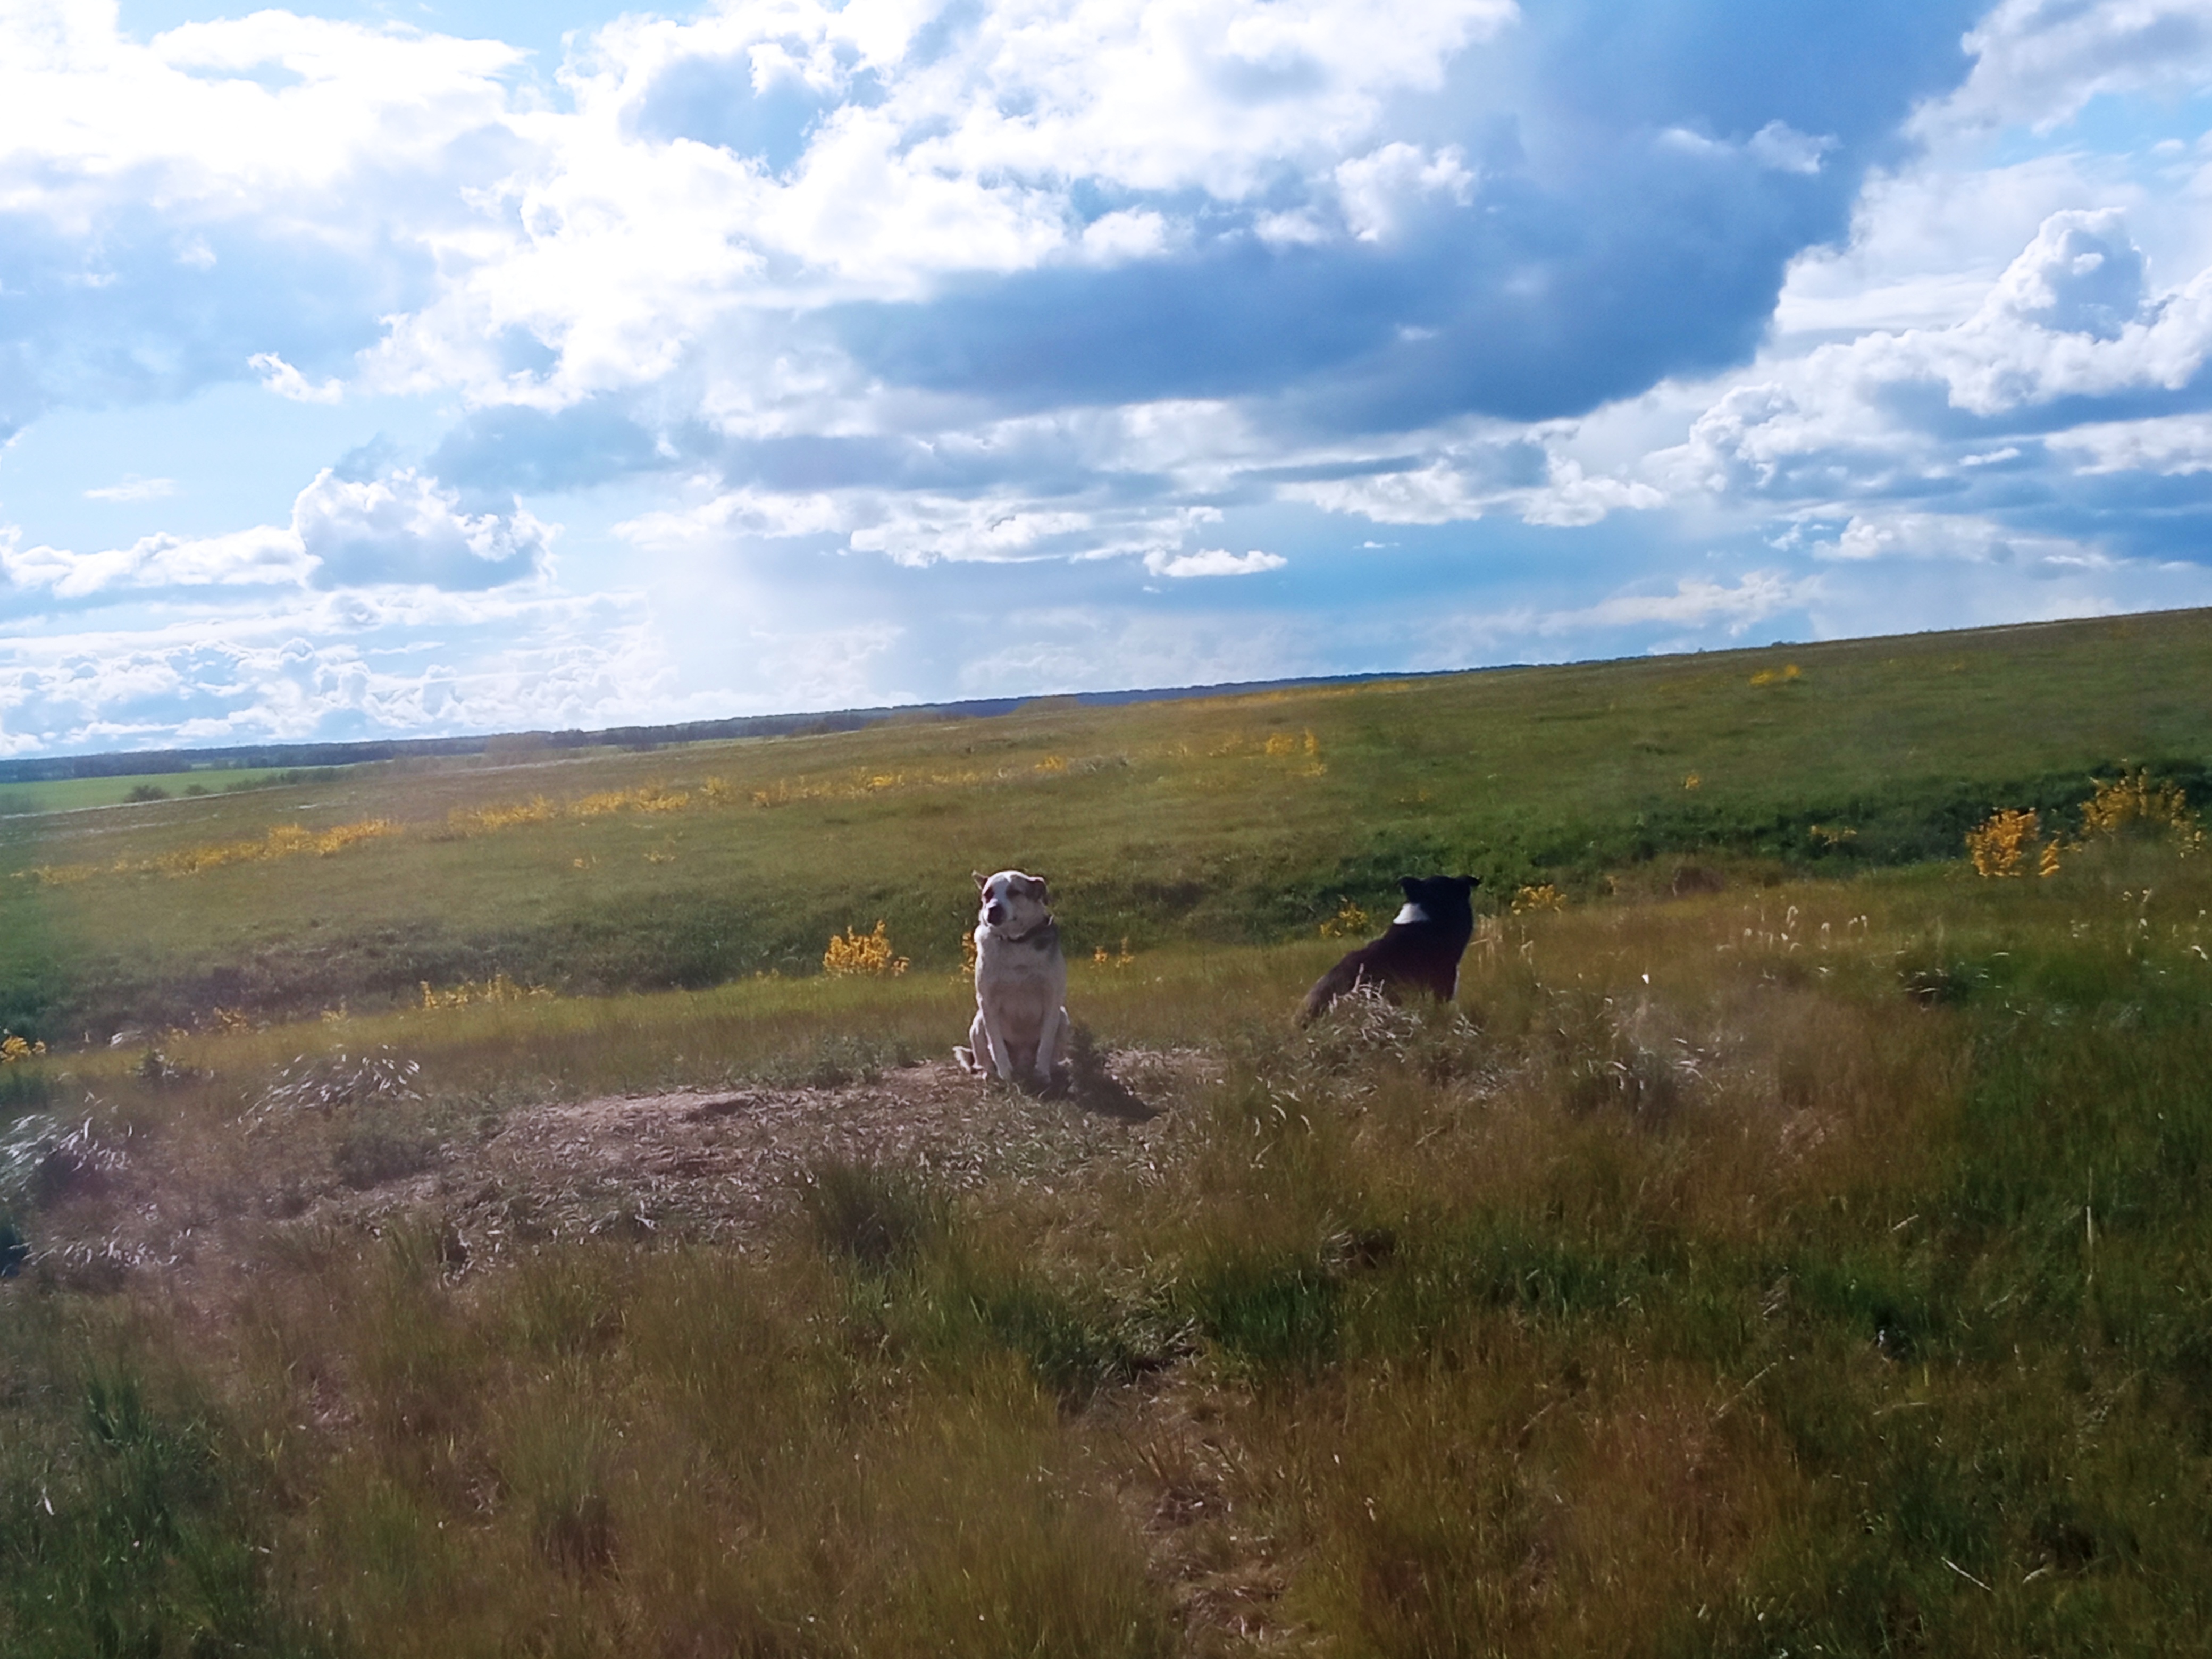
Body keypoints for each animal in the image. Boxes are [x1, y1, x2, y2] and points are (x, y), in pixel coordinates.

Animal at [954, 869, 1070, 1087]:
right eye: (988, 894)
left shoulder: (1053, 998)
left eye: (1014, 892)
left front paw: (1043, 1074)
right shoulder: (987, 1001)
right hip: (977, 1024)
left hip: (1064, 1017)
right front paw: (1005, 1075)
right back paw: (991, 1074)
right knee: (984, 1059)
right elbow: (996, 1045)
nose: (993, 909)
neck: (1016, 943)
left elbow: (1046, 1044)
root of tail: (1022, 1063)